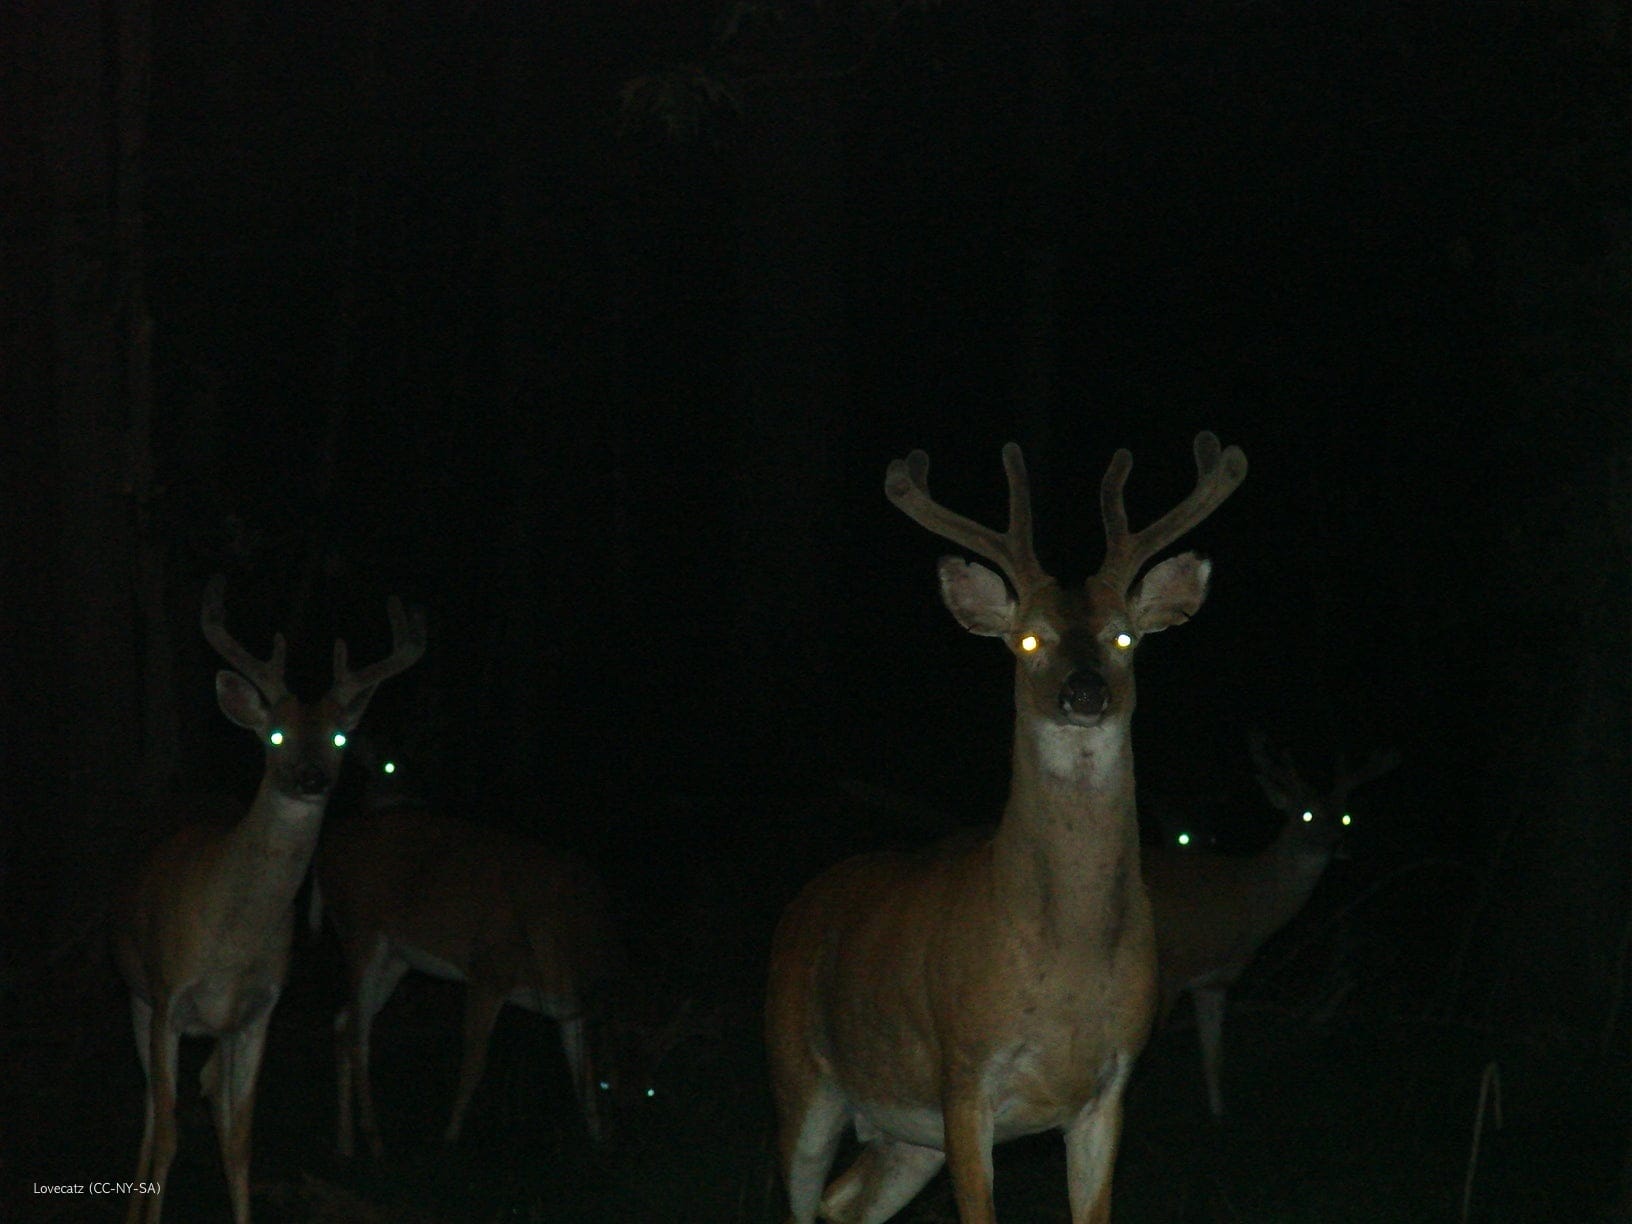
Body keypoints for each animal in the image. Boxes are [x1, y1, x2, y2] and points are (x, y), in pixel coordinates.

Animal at [111, 575, 425, 1224]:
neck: (231, 940)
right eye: (275, 734)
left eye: (338, 736)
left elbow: (239, 1138)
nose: (310, 778)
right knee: (153, 1108)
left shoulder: (258, 1011)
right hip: (136, 993)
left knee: (206, 1088)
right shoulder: (168, 993)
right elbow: (169, 1132)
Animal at [310, 727, 619, 1158]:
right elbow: (475, 1061)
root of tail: (326, 850)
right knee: (357, 1032)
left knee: (344, 1021)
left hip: (396, 957)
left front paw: (597, 1138)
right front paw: (450, 1137)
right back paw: (375, 1139)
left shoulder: (567, 1008)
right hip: (360, 929)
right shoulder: (489, 969)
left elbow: (582, 1076)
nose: (617, 1135)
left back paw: (345, 1143)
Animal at [766, 432, 1247, 1224]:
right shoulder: (964, 1075)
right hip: (799, 1076)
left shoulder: (1109, 1089)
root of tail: (801, 905)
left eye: (1125, 638)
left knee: (846, 1203)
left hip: (907, 1136)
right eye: (1027, 641)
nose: (1084, 692)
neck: (1067, 960)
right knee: (805, 1196)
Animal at [1142, 733, 1401, 1118]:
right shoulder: (1168, 971)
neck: (1247, 900)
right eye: (1306, 814)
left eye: (1345, 816)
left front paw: (1219, 1116)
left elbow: (1213, 1057)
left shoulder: (1215, 980)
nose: (1337, 842)